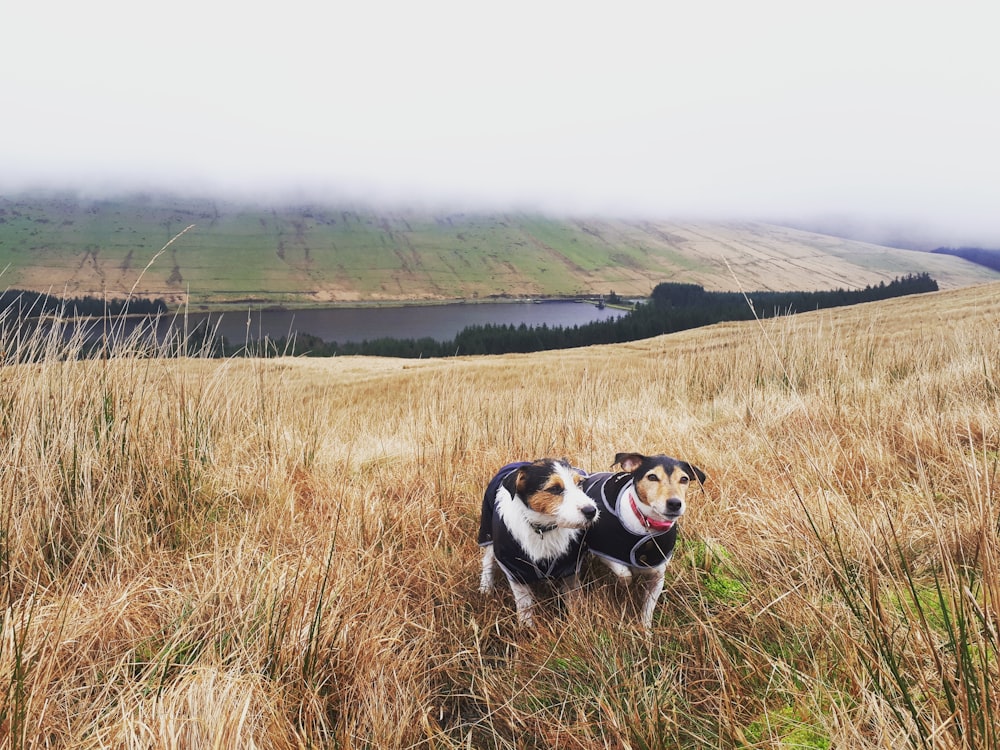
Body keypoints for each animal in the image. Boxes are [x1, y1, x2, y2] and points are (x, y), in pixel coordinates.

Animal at [478, 462, 596, 624]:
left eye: (579, 483)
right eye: (554, 488)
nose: (592, 511)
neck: (543, 529)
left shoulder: (570, 566)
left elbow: (574, 597)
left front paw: (577, 621)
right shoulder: (515, 569)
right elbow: (525, 604)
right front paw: (526, 627)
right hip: (488, 533)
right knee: (487, 561)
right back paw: (485, 587)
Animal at [584, 456, 708, 632]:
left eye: (684, 479)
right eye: (652, 477)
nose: (675, 503)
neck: (647, 524)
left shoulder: (658, 577)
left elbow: (648, 610)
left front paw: (646, 632)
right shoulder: (603, 553)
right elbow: (625, 574)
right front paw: (624, 586)